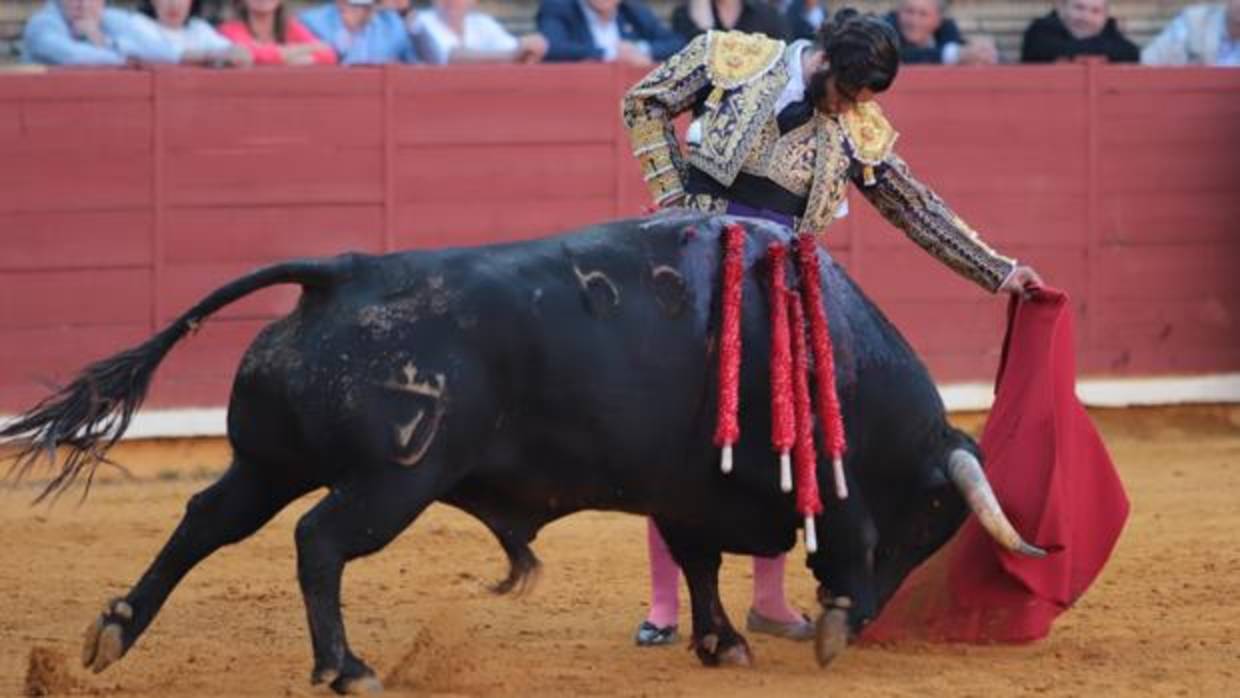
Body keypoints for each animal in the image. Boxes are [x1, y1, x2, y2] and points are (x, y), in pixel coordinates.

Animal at [2, 213, 1036, 694]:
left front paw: (722, 641)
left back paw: (113, 632)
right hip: (392, 482)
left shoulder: (685, 491)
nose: (872, 616)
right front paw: (804, 628)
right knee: (318, 543)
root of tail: (342, 274)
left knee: (207, 520)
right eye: (934, 516)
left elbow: (699, 562)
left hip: (267, 462)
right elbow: (757, 550)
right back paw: (347, 667)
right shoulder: (748, 491)